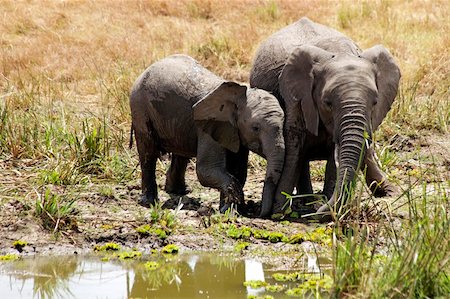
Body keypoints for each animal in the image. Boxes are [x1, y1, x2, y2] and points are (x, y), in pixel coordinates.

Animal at [130, 54, 284, 216]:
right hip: (139, 108)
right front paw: (230, 211)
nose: (260, 213)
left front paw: (230, 210)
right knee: (148, 154)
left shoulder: (234, 131)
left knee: (181, 152)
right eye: (256, 128)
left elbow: (238, 171)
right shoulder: (209, 127)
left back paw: (179, 191)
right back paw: (148, 202)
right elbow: (207, 170)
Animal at [250, 17, 400, 221]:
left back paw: (389, 192)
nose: (317, 213)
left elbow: (333, 154)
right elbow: (294, 144)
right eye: (327, 102)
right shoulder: (296, 95)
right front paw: (279, 211)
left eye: (375, 102)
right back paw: (307, 201)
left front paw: (325, 205)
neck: (340, 53)